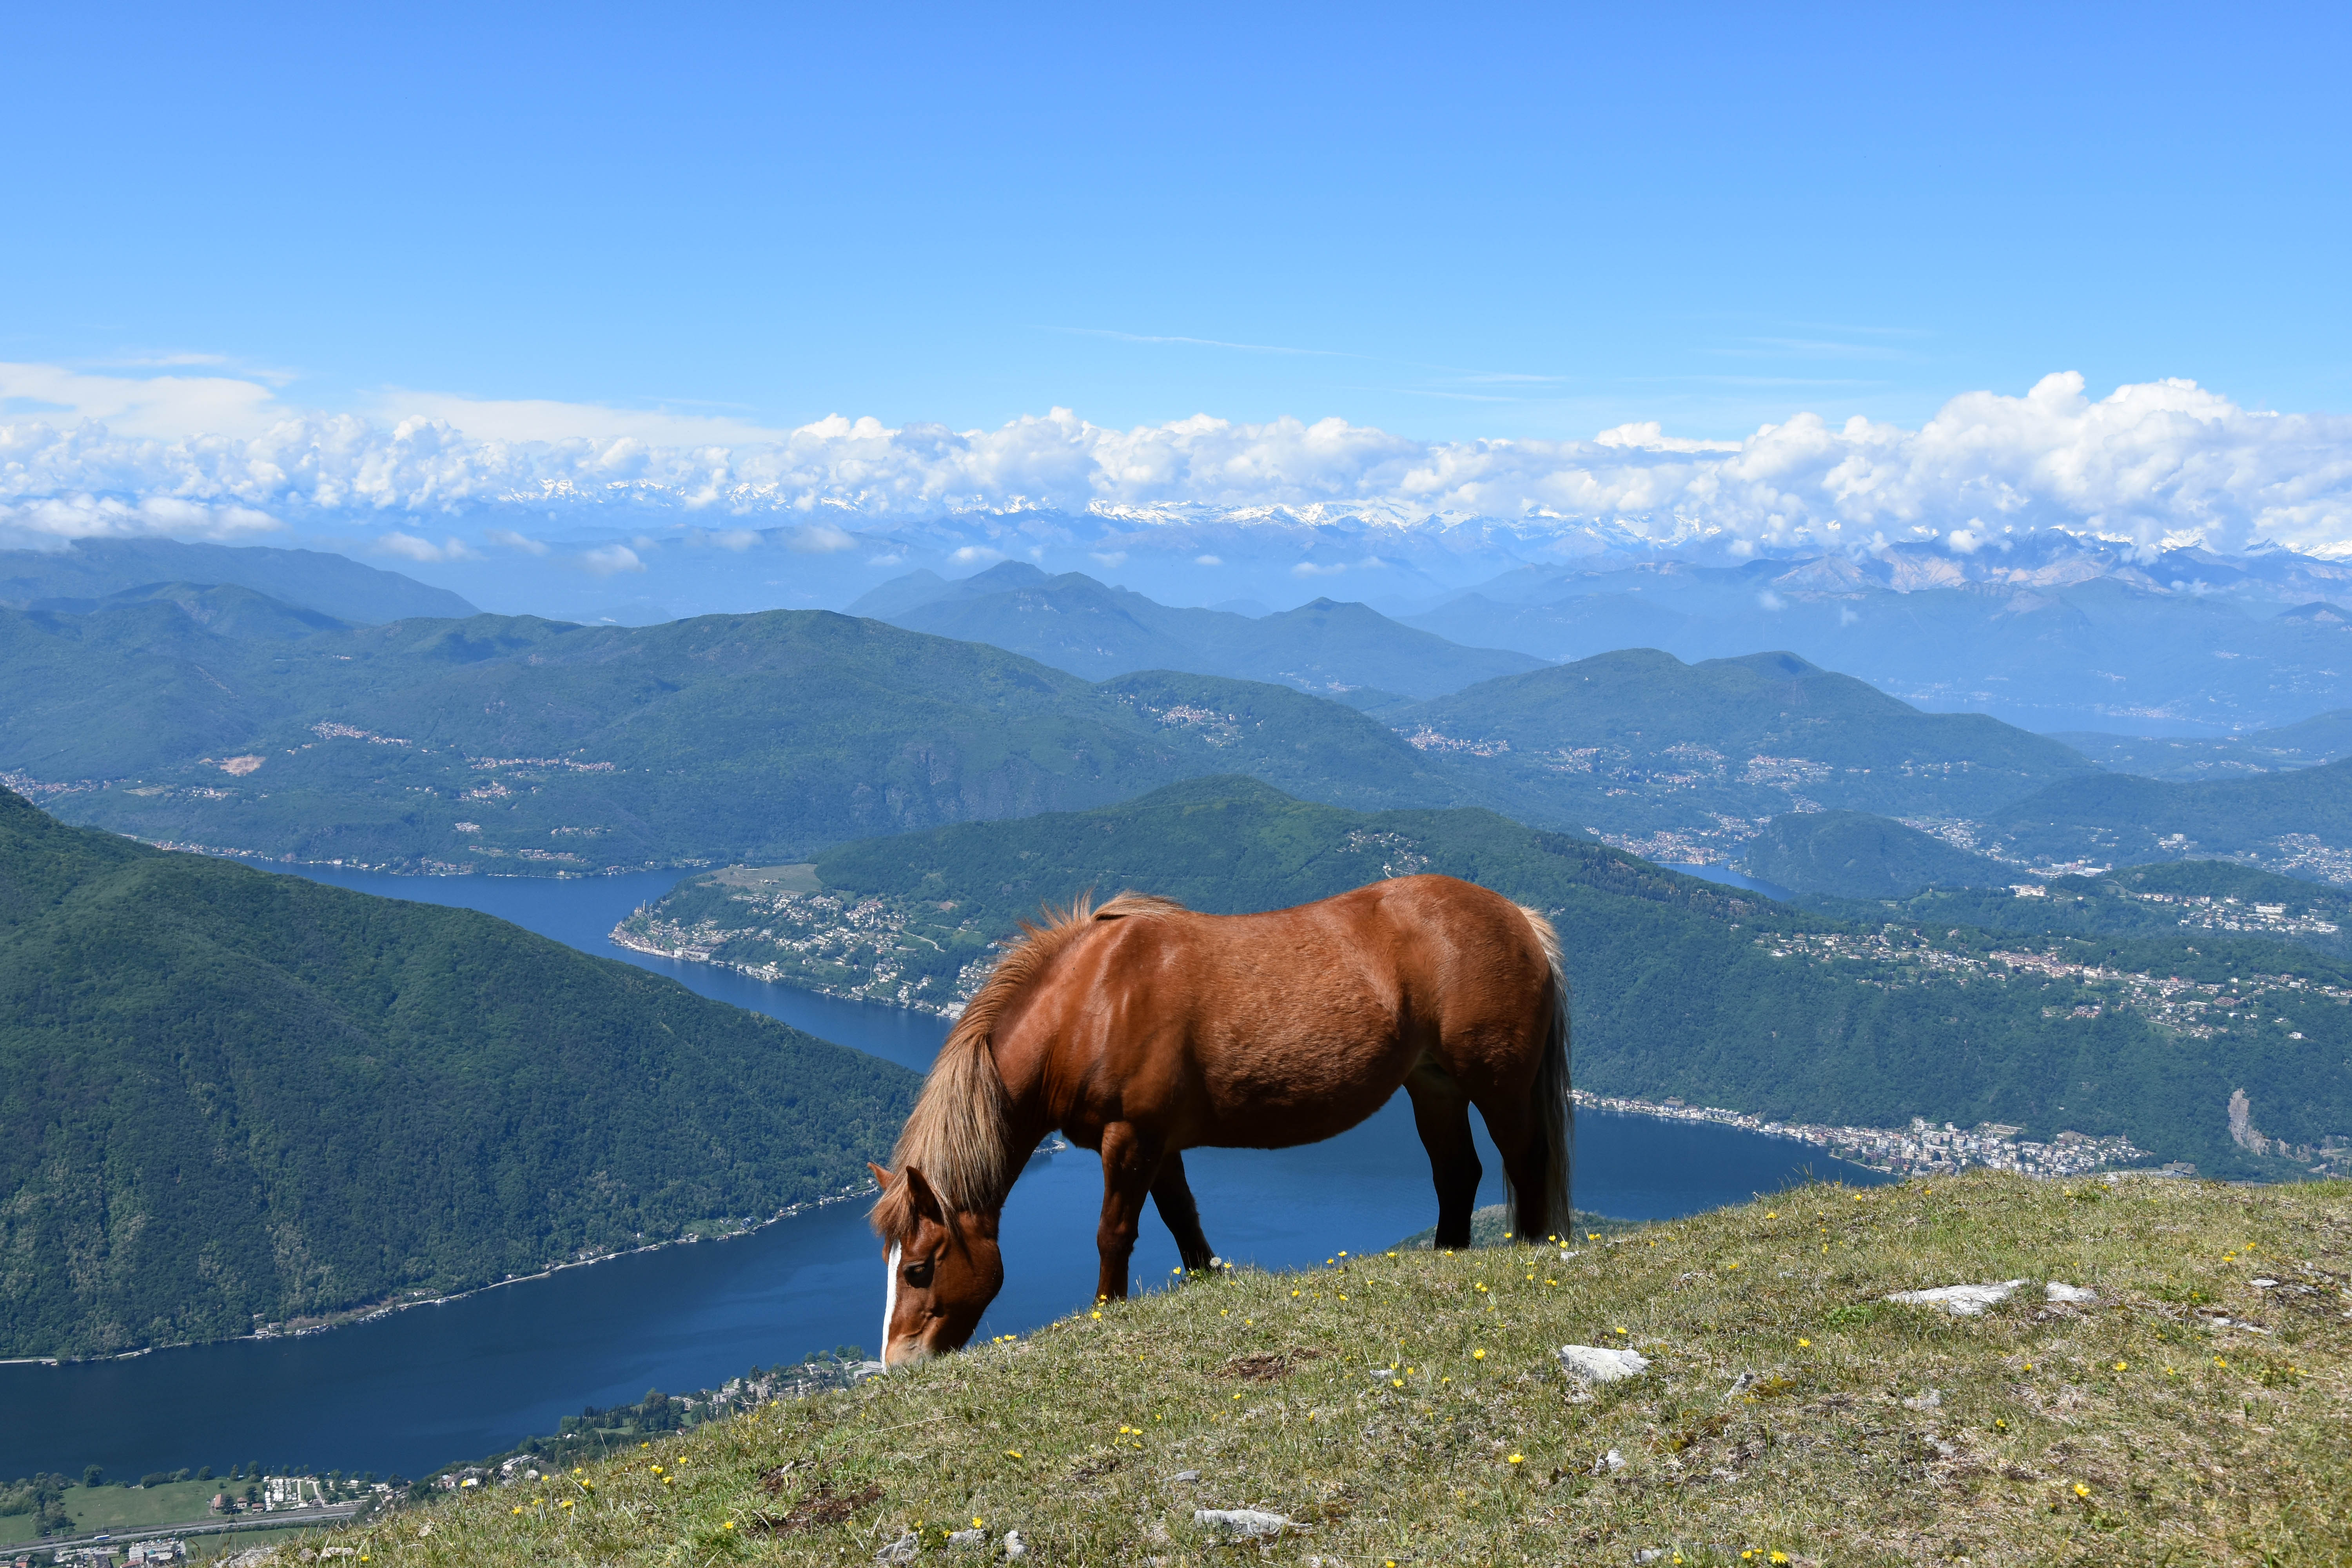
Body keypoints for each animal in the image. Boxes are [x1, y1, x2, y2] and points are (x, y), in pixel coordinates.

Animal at [866, 879, 1562, 1363]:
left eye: (918, 1269)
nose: (899, 1365)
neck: (1089, 1003)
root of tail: (1517, 917)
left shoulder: (1130, 1138)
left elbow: (1114, 1233)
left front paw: (1105, 1312)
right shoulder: (1159, 1144)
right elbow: (1183, 1221)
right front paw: (1206, 1285)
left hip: (1496, 1084)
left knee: (1525, 1159)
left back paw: (1532, 1250)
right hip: (1434, 1085)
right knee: (1457, 1172)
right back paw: (1447, 1255)